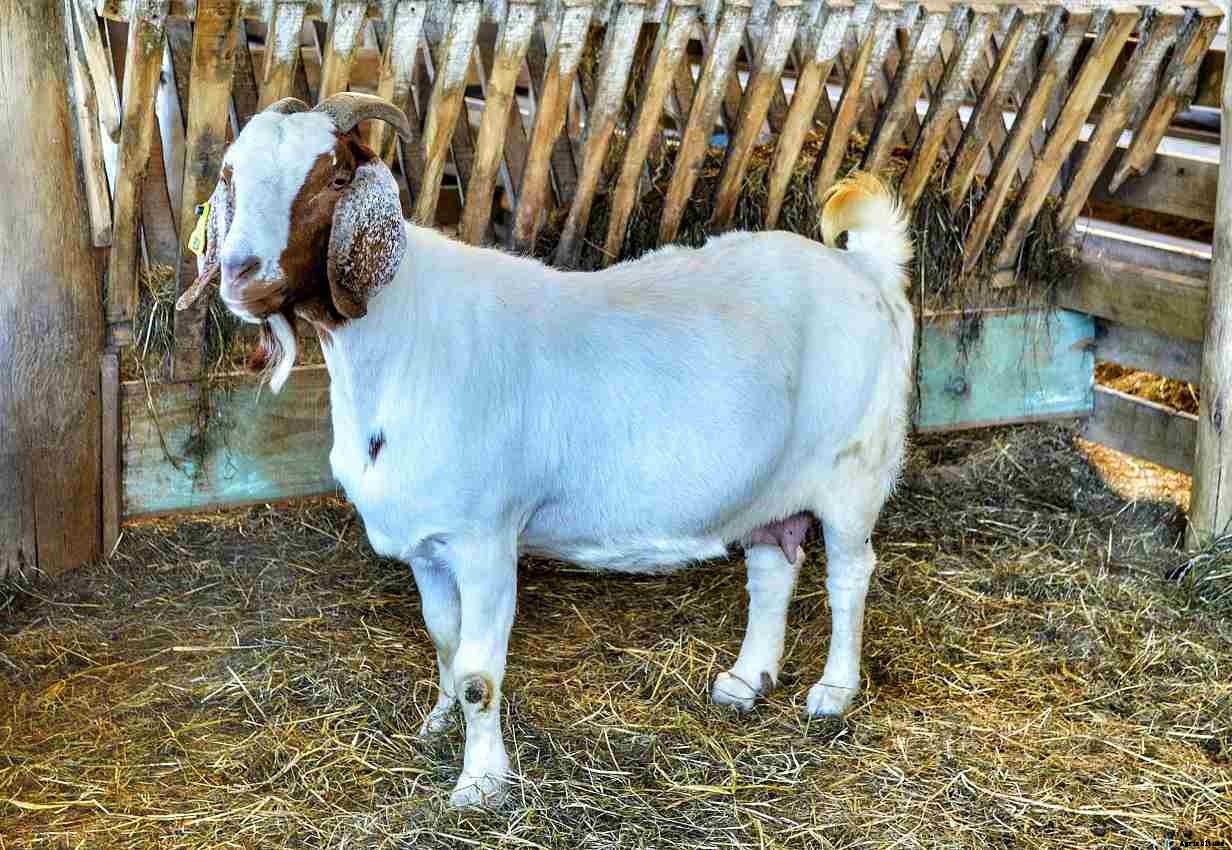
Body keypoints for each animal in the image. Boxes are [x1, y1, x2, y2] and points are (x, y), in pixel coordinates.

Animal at [179, 93, 915, 808]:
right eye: (230, 175)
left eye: (334, 178)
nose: (241, 275)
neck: (403, 339)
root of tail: (863, 270)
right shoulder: (427, 545)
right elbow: (444, 641)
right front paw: (437, 724)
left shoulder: (484, 538)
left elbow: (478, 673)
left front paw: (481, 784)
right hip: (770, 485)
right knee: (772, 567)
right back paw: (746, 678)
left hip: (855, 471)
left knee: (850, 573)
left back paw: (833, 691)